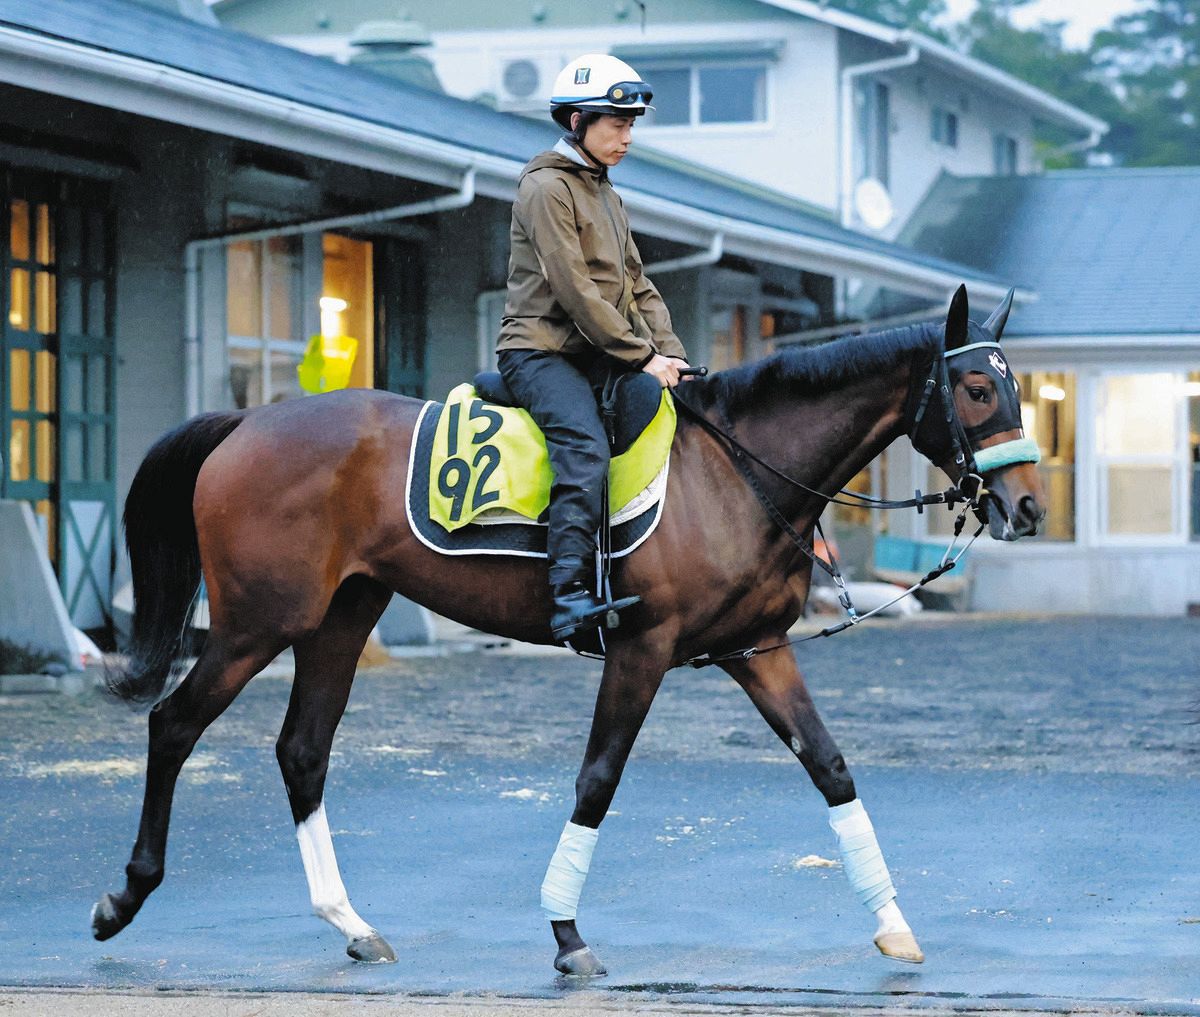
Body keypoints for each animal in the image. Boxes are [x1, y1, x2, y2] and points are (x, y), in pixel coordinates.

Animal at [92, 285, 1045, 974]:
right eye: (976, 386)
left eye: (1015, 385)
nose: (1029, 505)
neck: (734, 471)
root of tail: (249, 420)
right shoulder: (640, 651)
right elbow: (597, 780)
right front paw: (566, 933)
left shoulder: (759, 654)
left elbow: (832, 770)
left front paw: (895, 923)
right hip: (257, 623)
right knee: (174, 724)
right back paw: (124, 896)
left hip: (340, 617)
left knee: (302, 750)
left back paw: (350, 922)